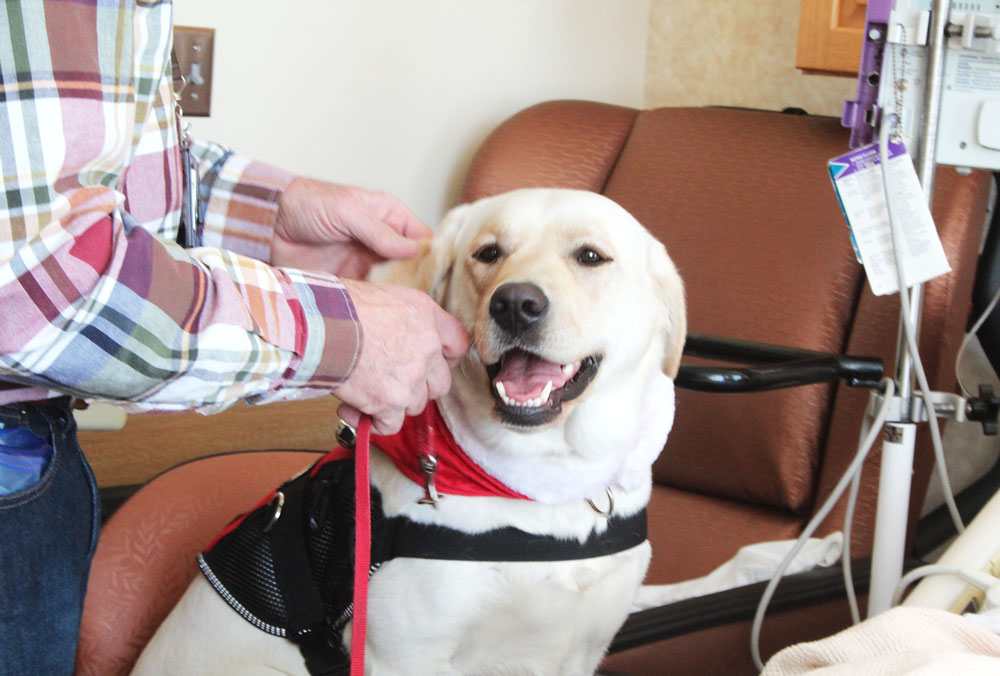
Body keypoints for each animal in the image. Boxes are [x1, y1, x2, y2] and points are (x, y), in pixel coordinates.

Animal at [133, 189, 684, 676]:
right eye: (488, 253)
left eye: (591, 256)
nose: (514, 304)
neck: (546, 482)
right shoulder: (405, 657)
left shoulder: (581, 649)